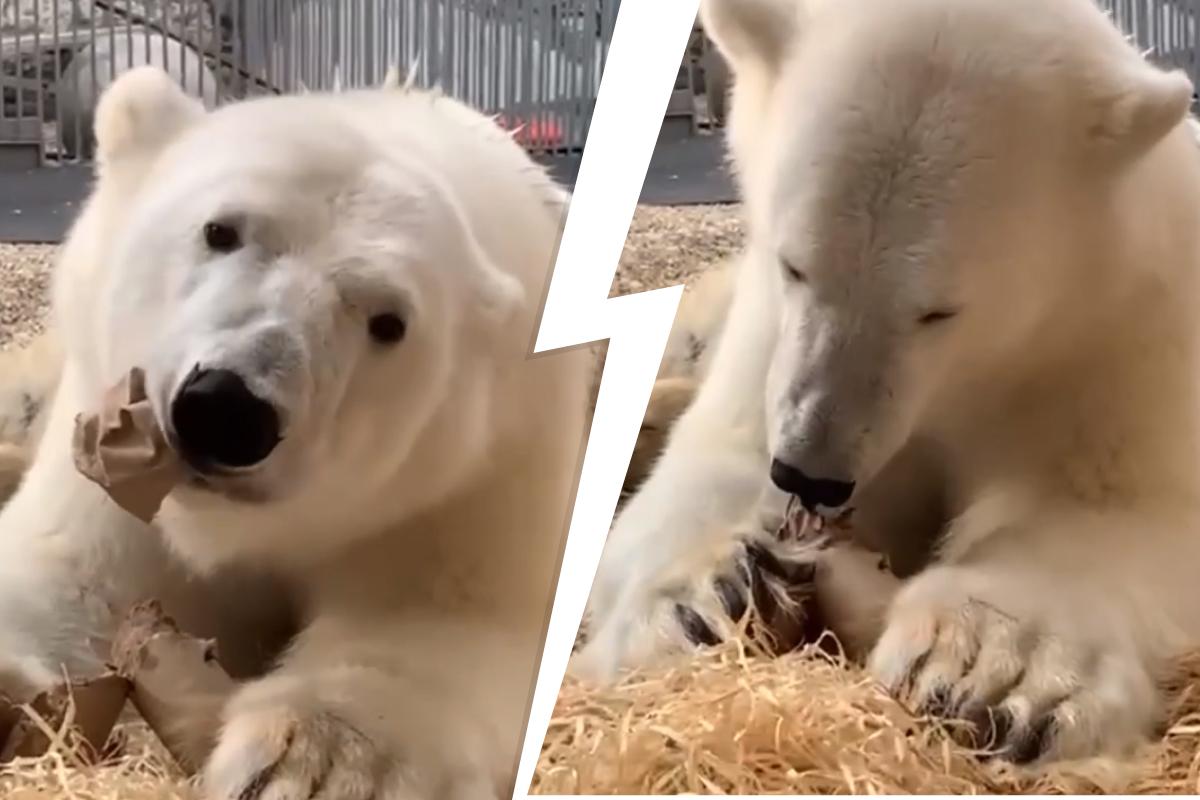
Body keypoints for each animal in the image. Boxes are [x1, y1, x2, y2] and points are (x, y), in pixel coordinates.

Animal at [0, 67, 590, 800]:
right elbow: (68, 577)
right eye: (220, 230)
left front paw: (310, 762)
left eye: (388, 322)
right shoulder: (111, 479)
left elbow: (438, 622)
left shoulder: (469, 479)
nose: (227, 411)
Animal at [578, 0, 1200, 767]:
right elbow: (716, 461)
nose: (811, 473)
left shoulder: (1119, 339)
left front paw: (989, 672)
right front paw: (714, 591)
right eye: (796, 264)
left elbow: (1117, 512)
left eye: (938, 309)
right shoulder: (770, 334)